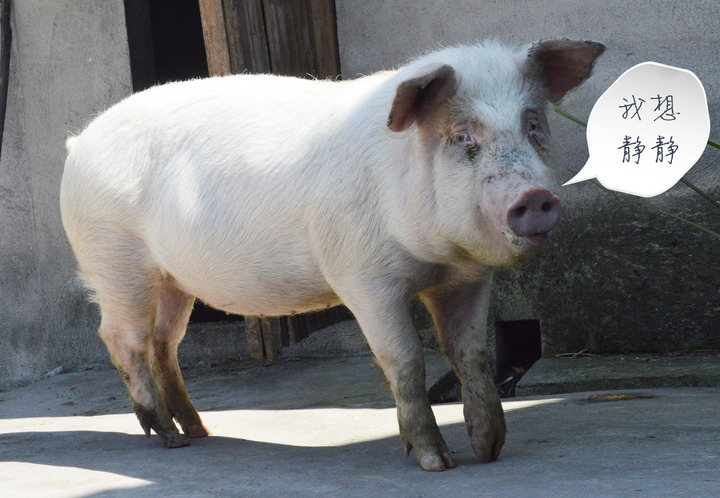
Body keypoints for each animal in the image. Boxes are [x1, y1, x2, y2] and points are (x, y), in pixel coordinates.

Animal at [60, 39, 600, 470]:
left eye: (533, 124)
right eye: (462, 135)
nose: (534, 197)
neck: (434, 257)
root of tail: (78, 143)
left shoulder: (466, 279)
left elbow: (473, 354)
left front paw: (489, 451)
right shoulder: (361, 276)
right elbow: (405, 360)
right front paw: (437, 463)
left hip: (174, 279)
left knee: (164, 343)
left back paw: (199, 431)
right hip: (115, 258)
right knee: (122, 338)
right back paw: (170, 440)